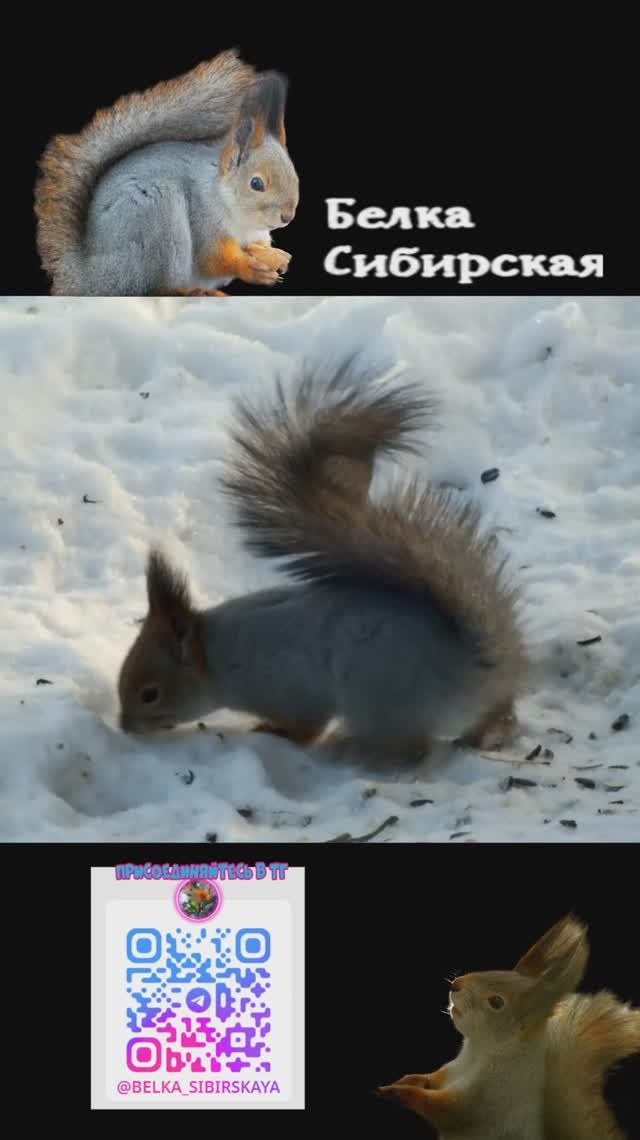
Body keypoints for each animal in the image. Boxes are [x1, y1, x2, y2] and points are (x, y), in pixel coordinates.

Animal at [34, 49, 299, 297]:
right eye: (256, 183)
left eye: (295, 176)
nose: (287, 217)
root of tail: (92, 276)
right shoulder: (205, 219)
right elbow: (213, 259)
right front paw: (252, 270)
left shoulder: (254, 234)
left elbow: (255, 246)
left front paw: (272, 255)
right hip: (159, 216)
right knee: (159, 288)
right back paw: (197, 291)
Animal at [116, 359, 528, 766]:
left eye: (150, 694)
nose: (124, 727)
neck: (214, 655)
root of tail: (474, 675)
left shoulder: (289, 688)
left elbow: (306, 728)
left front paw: (274, 733)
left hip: (377, 693)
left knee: (413, 750)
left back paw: (352, 750)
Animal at [376, 914, 640, 1140]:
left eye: (496, 1002)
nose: (455, 984)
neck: (478, 1052)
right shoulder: (452, 1070)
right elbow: (431, 1079)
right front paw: (406, 1079)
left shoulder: (485, 1098)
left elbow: (445, 1110)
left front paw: (398, 1093)